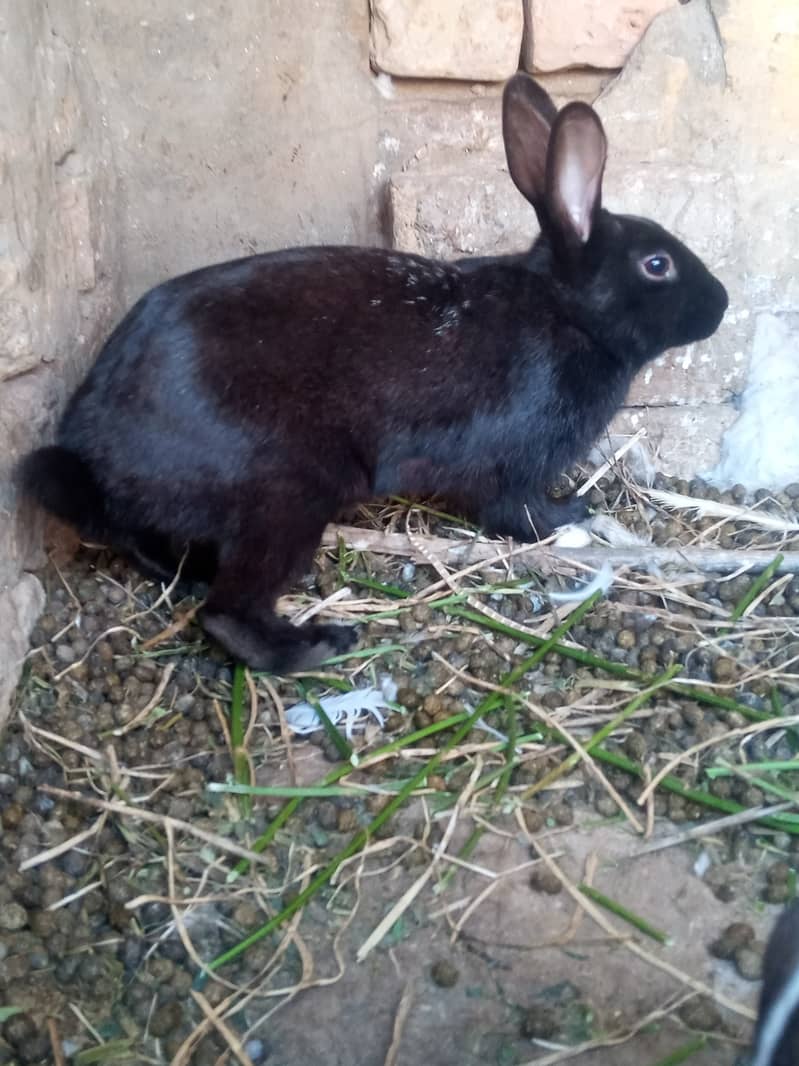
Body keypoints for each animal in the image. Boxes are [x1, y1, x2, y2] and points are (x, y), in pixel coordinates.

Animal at [17, 73, 728, 674]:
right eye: (657, 265)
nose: (721, 304)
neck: (567, 313)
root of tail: (94, 451)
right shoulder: (511, 462)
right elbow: (517, 512)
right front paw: (573, 514)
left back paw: (186, 570)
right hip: (290, 493)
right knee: (227, 612)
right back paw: (317, 645)